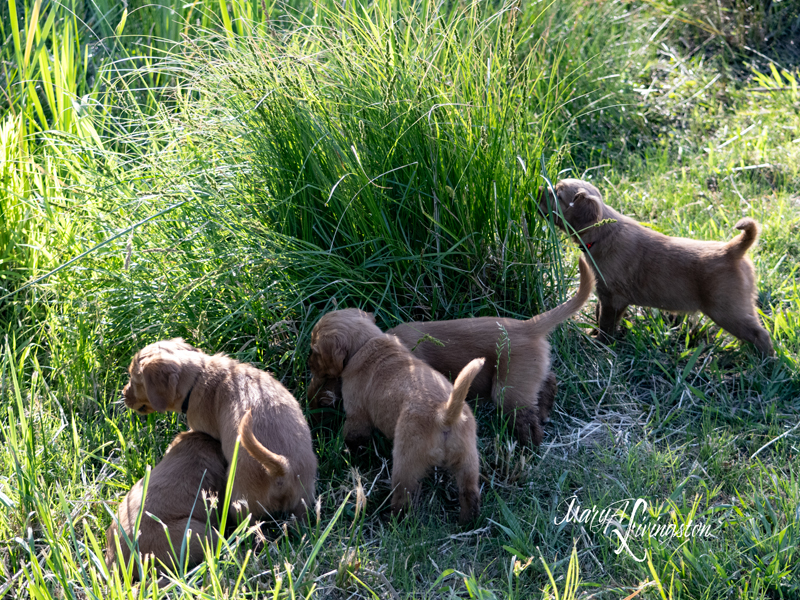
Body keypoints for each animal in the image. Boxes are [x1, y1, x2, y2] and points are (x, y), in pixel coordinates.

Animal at [122, 340, 316, 524]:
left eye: (134, 380)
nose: (123, 394)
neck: (200, 376)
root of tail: (281, 466)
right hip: (303, 500)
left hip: (239, 503)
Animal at [308, 312, 484, 524]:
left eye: (314, 350)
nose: (307, 362)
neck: (367, 343)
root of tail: (445, 414)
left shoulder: (357, 416)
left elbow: (353, 438)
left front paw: (348, 455)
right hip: (468, 462)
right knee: (470, 494)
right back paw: (467, 522)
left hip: (405, 464)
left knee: (403, 497)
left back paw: (393, 520)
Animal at [384, 256, 596, 446]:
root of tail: (528, 325)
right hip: (527, 376)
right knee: (549, 381)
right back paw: (544, 414)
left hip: (508, 389)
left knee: (529, 425)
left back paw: (527, 448)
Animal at [540, 178, 772, 356]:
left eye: (557, 193)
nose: (539, 189)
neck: (603, 233)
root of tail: (732, 249)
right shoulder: (604, 295)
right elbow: (599, 315)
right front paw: (595, 335)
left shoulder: (613, 298)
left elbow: (606, 323)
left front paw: (600, 343)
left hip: (726, 310)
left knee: (760, 334)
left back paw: (765, 362)